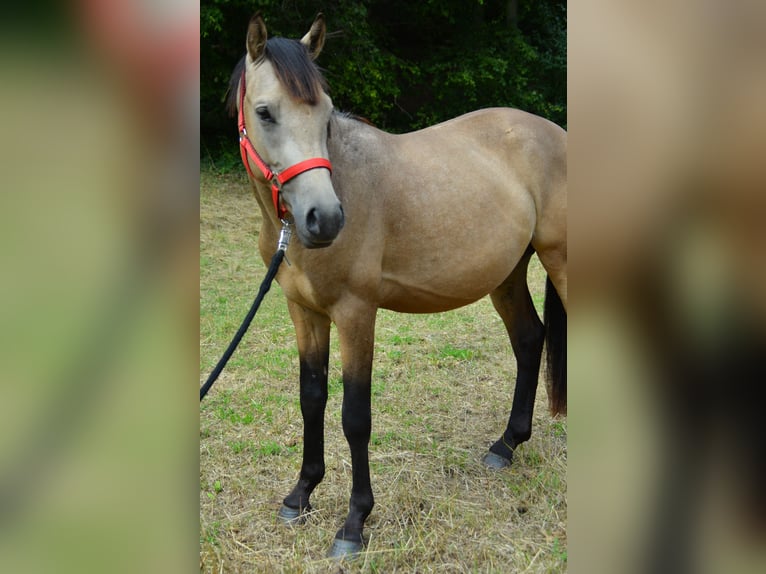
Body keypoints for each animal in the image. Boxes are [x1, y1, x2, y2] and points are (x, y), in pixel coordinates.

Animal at [224, 12, 567, 559]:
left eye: (325, 115)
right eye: (265, 112)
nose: (325, 219)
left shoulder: (355, 313)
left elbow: (354, 416)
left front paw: (353, 523)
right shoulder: (304, 311)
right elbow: (311, 398)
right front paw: (301, 494)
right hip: (508, 274)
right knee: (531, 339)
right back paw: (506, 445)